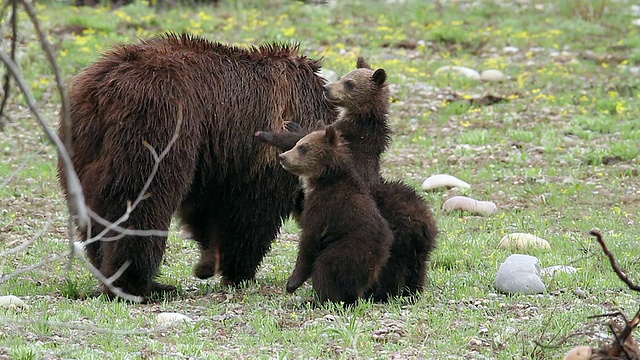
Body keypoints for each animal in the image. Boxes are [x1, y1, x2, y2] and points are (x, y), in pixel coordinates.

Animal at [58, 32, 338, 300]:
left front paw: (208, 262)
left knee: (94, 208)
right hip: (155, 124)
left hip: (82, 144)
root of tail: (102, 91)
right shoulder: (262, 155)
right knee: (140, 202)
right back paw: (143, 285)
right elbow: (251, 213)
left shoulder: (217, 160)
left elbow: (205, 209)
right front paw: (236, 269)